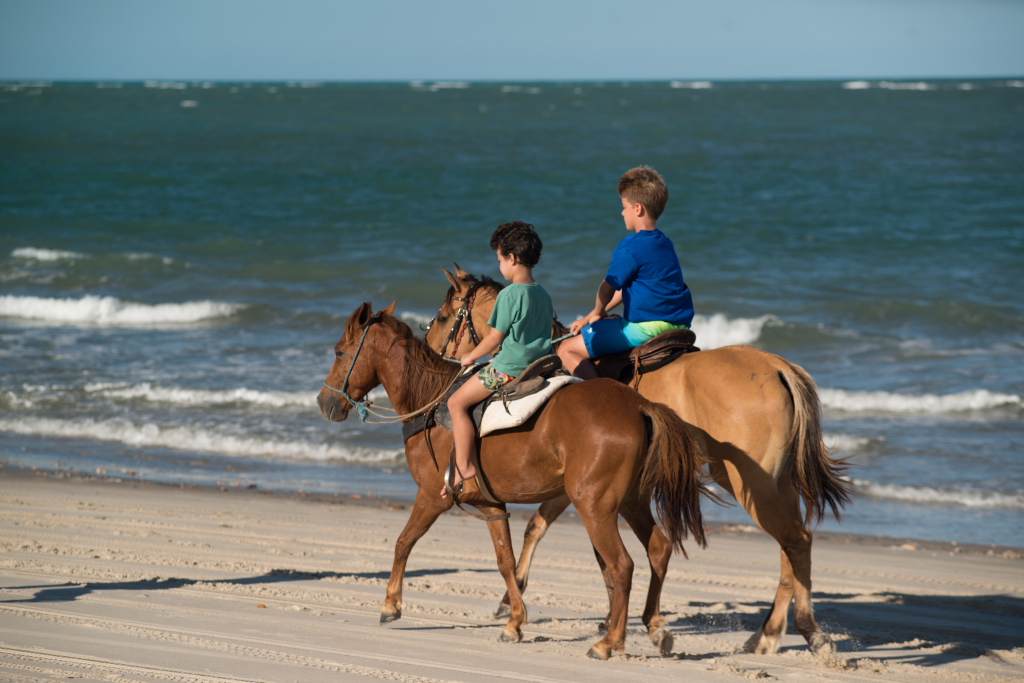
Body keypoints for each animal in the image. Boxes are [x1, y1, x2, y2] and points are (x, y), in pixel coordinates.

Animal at [317, 301, 709, 659]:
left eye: (339, 352)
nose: (324, 403)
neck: (431, 401)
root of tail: (639, 405)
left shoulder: (432, 496)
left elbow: (403, 543)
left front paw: (391, 604)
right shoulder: (490, 504)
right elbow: (505, 561)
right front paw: (514, 622)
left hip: (594, 506)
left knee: (621, 566)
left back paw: (609, 642)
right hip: (630, 501)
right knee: (658, 549)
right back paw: (655, 627)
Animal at [424, 264, 850, 657]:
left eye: (443, 317)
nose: (430, 352)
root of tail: (778, 367)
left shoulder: (580, 486)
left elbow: (552, 534)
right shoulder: (575, 485)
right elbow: (543, 529)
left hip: (746, 481)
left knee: (793, 539)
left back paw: (785, 632)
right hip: (778, 484)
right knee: (794, 544)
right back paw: (787, 630)